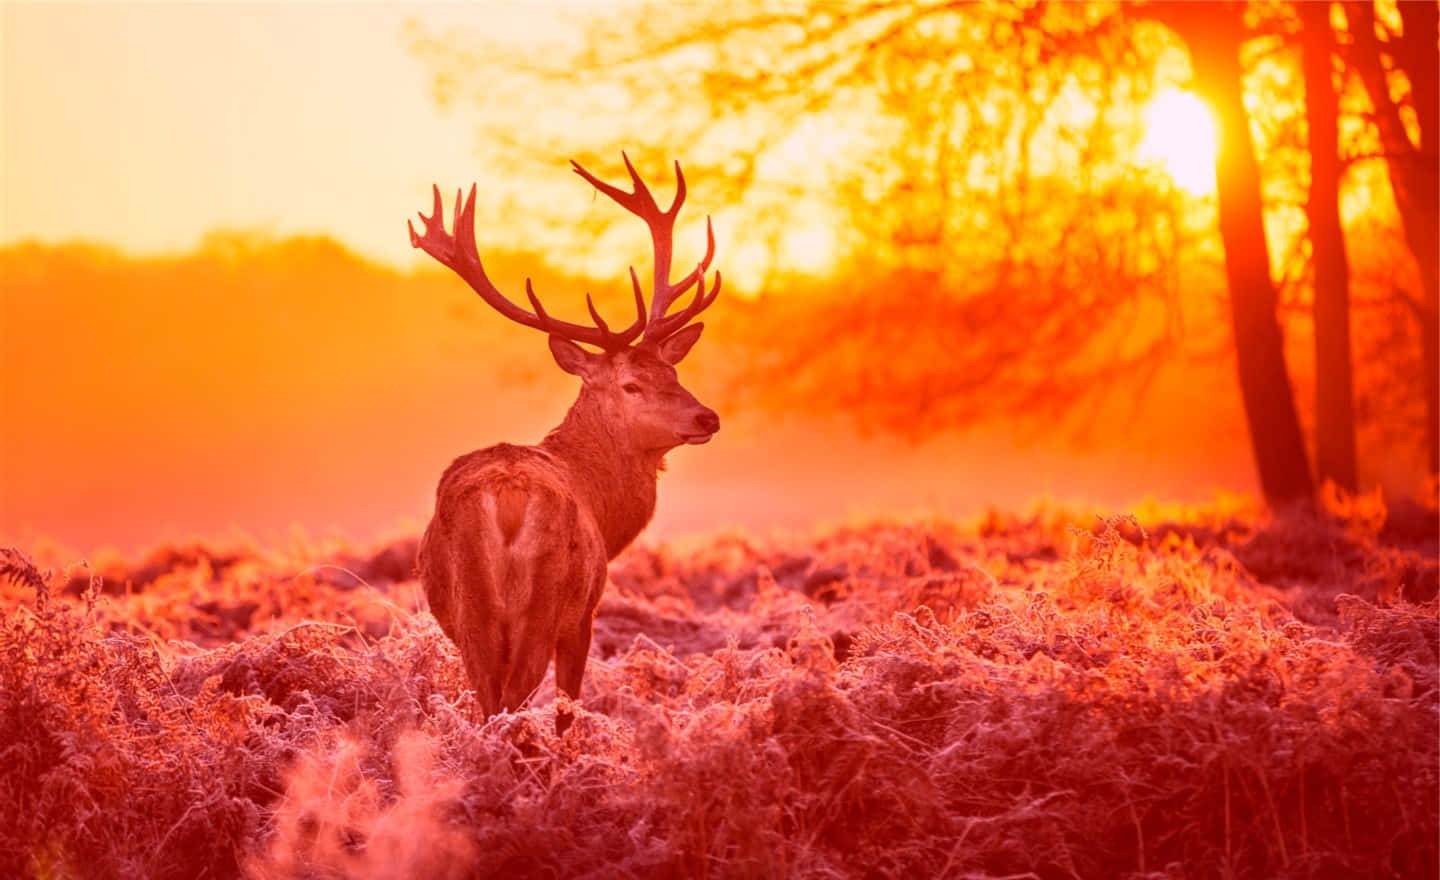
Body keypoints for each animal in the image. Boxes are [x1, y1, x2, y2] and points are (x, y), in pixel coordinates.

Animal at [407, 154, 720, 734]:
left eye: (673, 371)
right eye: (632, 384)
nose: (706, 416)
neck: (603, 505)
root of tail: (507, 498)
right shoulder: (585, 613)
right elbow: (567, 707)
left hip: (470, 611)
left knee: (490, 702)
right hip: (544, 602)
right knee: (514, 700)